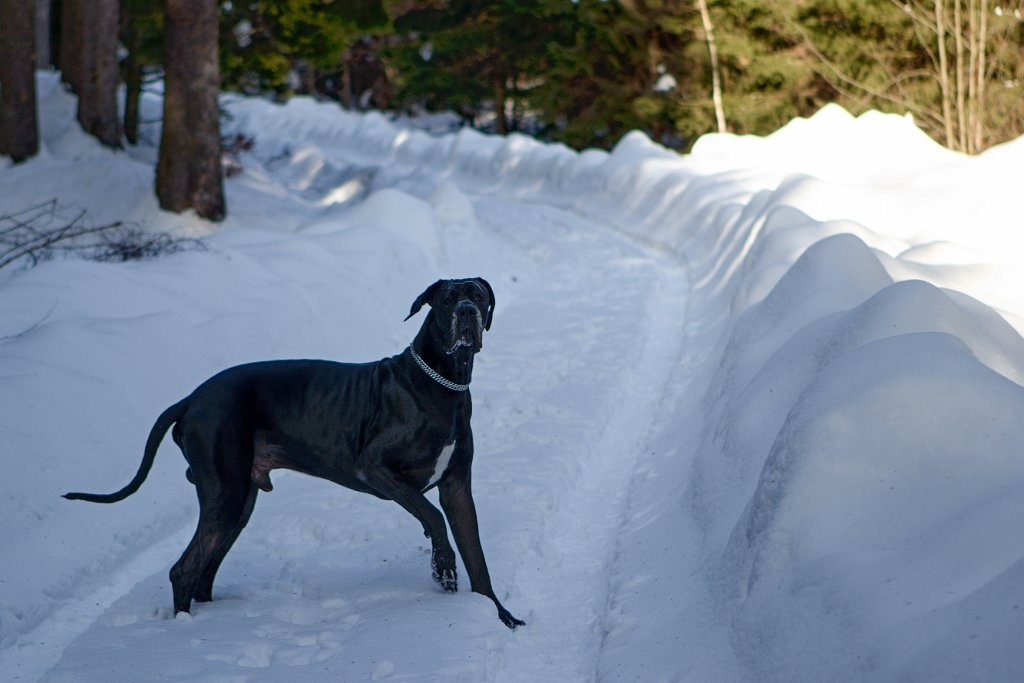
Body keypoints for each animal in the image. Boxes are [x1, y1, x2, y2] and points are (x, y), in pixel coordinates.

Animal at [66, 278, 520, 630]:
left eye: (478, 295)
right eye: (446, 299)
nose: (466, 312)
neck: (444, 382)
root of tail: (192, 398)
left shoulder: (457, 487)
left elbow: (477, 558)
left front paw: (499, 616)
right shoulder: (374, 467)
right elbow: (433, 517)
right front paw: (442, 567)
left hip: (238, 502)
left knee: (204, 571)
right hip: (226, 493)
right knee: (185, 570)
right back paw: (184, 631)